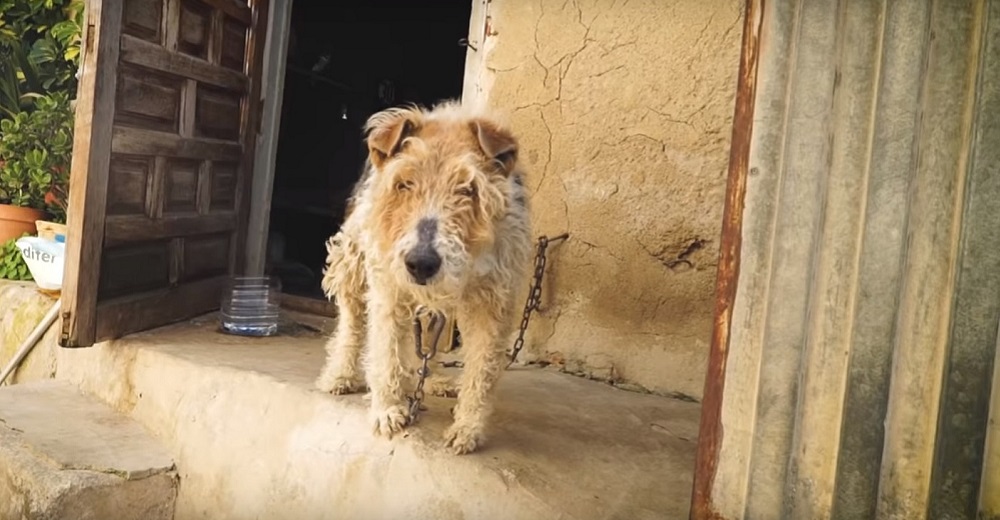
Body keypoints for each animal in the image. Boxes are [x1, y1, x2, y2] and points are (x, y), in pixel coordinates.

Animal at [314, 99, 532, 452]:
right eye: (404, 183)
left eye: (468, 188)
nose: (421, 264)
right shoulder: (388, 285)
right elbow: (385, 349)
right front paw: (387, 410)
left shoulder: (492, 300)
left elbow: (481, 369)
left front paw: (467, 428)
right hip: (350, 259)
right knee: (352, 322)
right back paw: (342, 375)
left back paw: (430, 380)